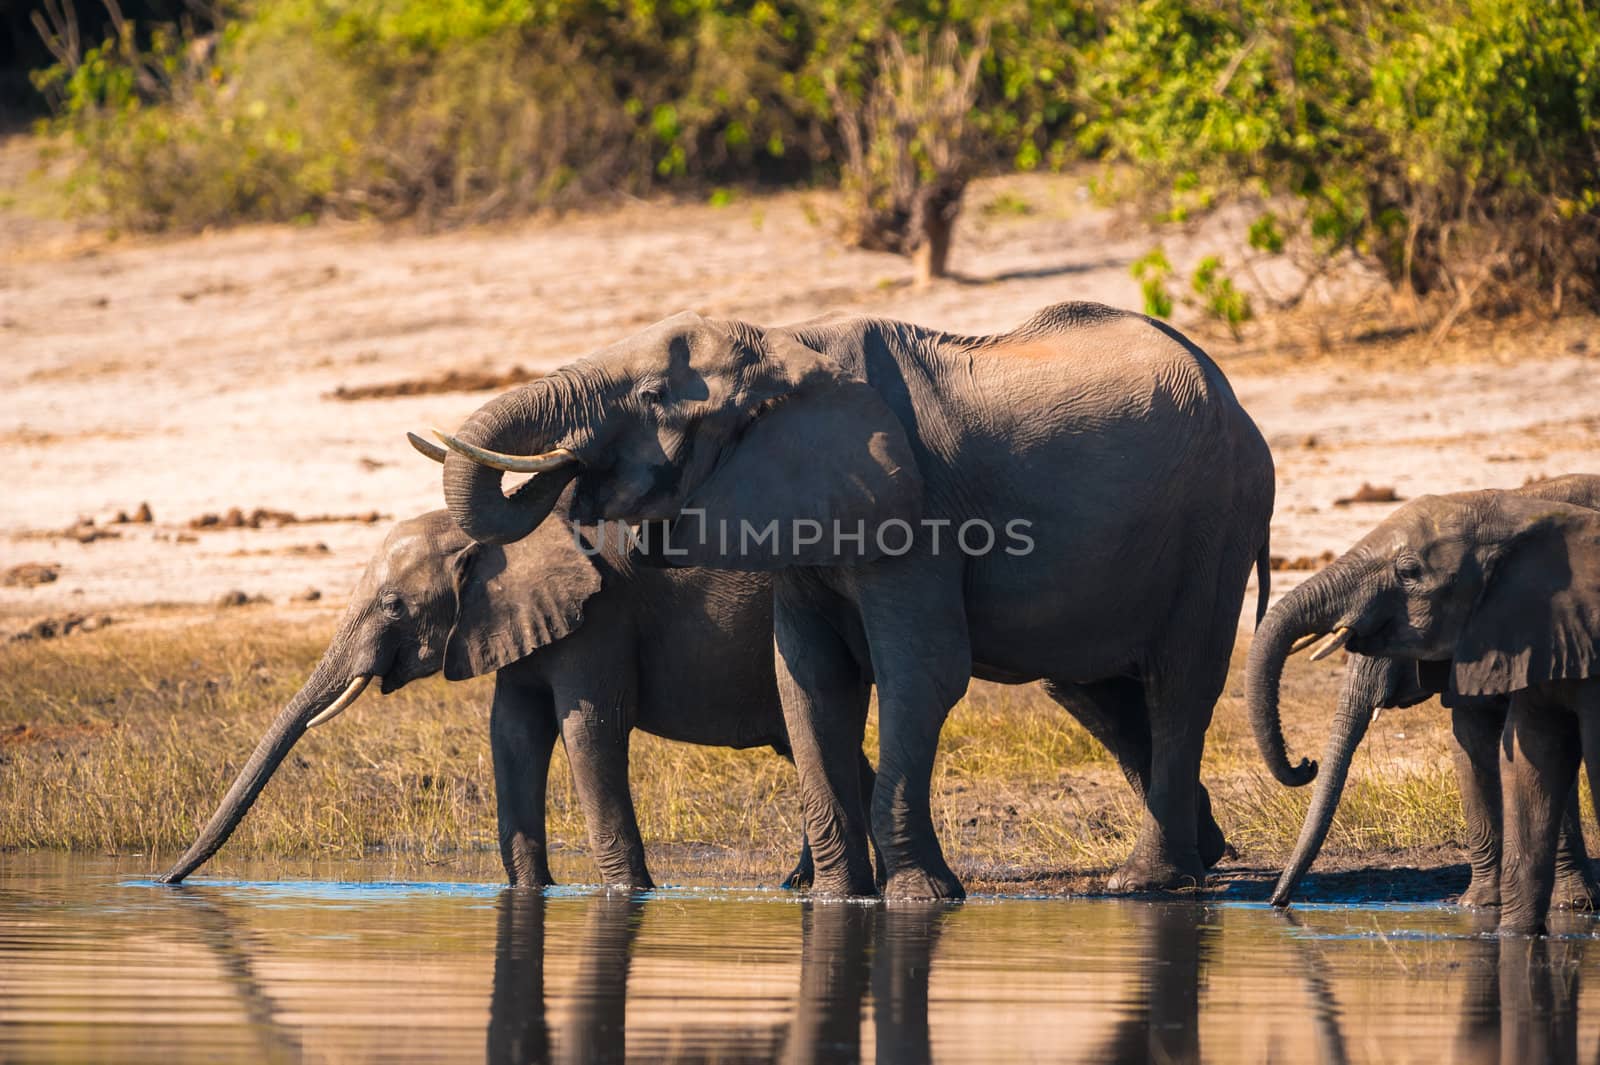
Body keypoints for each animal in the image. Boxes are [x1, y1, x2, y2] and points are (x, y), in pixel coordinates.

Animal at [159, 457, 876, 889]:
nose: (165, 880)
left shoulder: (602, 614)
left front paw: (630, 894)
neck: (491, 534)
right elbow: (512, 734)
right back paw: (799, 886)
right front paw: (534, 891)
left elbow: (589, 730)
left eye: (393, 605)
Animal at [435, 299, 1273, 895]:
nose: (570, 473)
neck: (790, 343)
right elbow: (809, 680)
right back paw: (1203, 855)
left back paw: (1147, 882)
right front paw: (838, 899)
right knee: (1092, 688)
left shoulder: (917, 516)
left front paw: (920, 897)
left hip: (1218, 517)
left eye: (650, 395)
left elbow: (922, 673)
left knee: (1179, 681)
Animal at [1248, 479, 1600, 927]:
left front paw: (1571, 908)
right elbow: (1471, 742)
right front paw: (1477, 906)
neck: (1504, 502)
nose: (1278, 904)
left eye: (1409, 573)